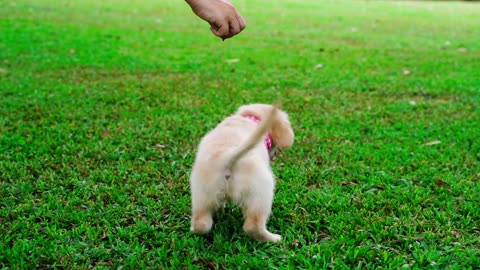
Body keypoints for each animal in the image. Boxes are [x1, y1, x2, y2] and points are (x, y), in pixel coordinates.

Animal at [189, 104, 294, 243]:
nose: (273, 155)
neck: (254, 119)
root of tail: (227, 157)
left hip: (201, 194)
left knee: (201, 224)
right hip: (261, 192)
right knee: (252, 226)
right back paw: (274, 238)